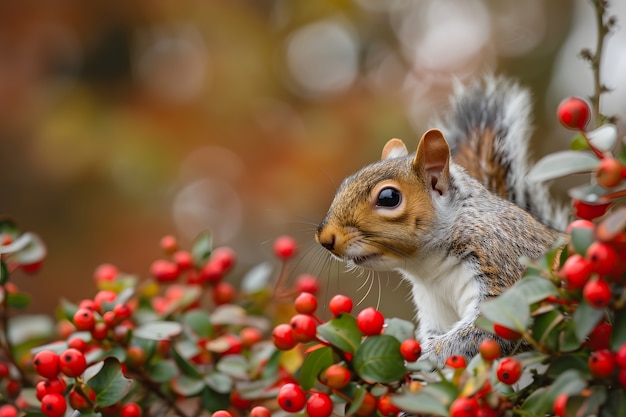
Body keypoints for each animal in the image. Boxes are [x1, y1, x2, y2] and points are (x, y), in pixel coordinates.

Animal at [314, 75, 564, 368]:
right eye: (345, 183)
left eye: (389, 197)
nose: (325, 238)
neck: (431, 268)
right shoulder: (433, 306)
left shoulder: (504, 266)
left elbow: (480, 334)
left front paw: (422, 355)